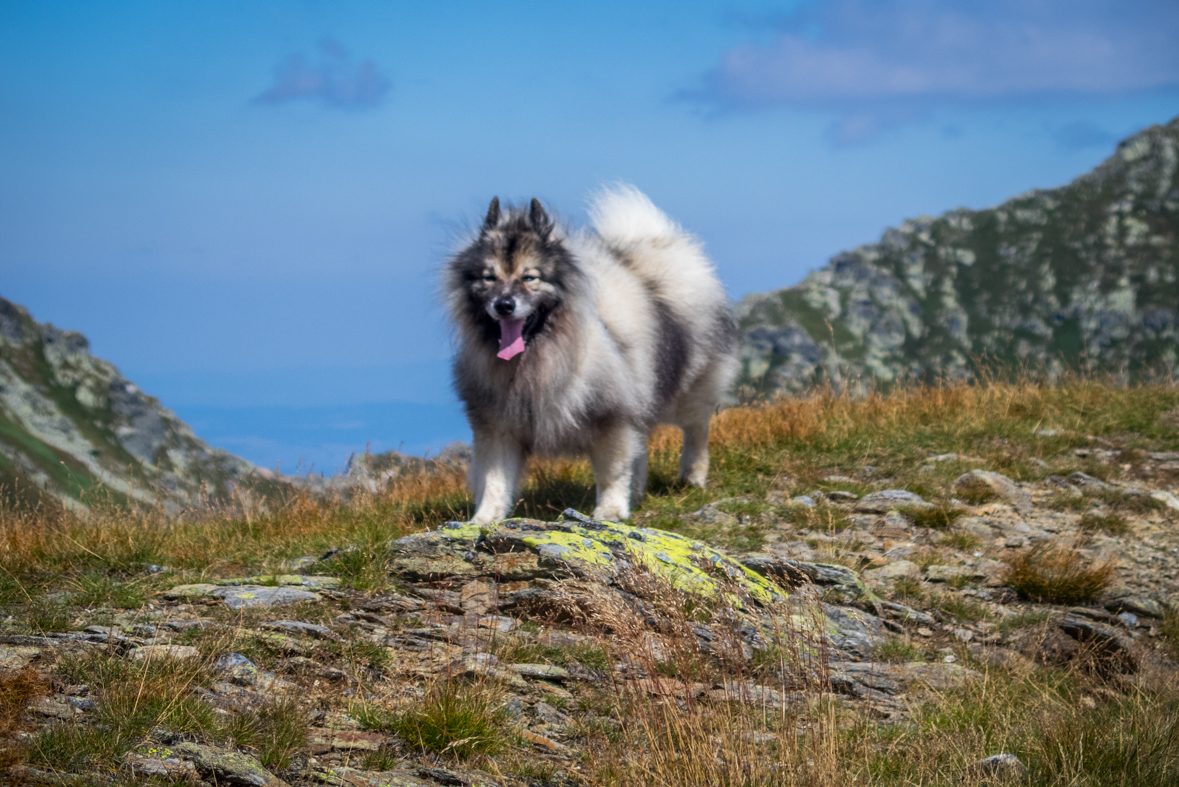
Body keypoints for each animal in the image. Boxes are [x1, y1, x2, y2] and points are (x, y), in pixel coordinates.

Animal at [443, 184, 735, 523]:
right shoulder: (497, 424)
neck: (538, 355)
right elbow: (494, 478)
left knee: (696, 428)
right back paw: (639, 490)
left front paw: (609, 511)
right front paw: (482, 519)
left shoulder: (610, 414)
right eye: (489, 277)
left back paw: (692, 476)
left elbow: (611, 470)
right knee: (642, 444)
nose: (504, 305)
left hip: (688, 389)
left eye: (530, 277)